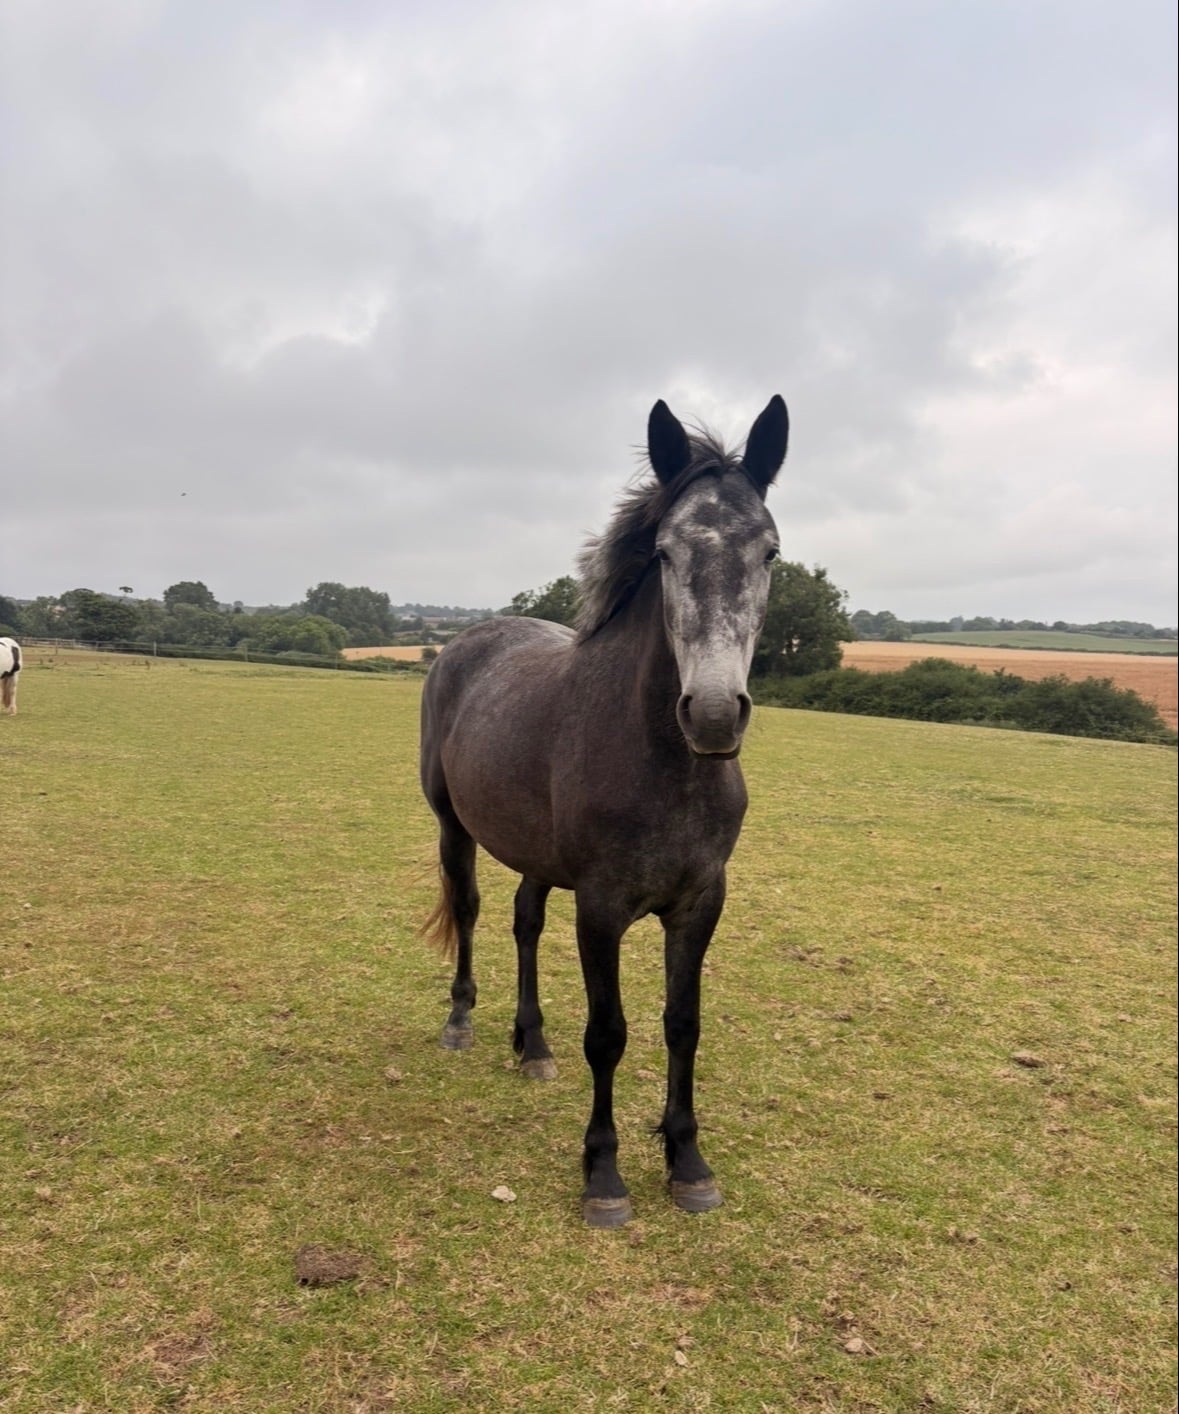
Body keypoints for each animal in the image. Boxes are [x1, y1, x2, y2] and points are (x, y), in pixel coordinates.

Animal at [419, 395, 788, 1227]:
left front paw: (687, 1163)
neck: (665, 767)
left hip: (535, 854)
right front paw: (604, 1175)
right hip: (454, 827)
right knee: (474, 909)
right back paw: (461, 1022)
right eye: (665, 554)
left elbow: (682, 1025)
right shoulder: (601, 907)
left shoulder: (700, 902)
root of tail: (469, 639)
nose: (712, 714)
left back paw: (532, 1045)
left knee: (524, 920)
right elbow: (608, 1034)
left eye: (770, 553)